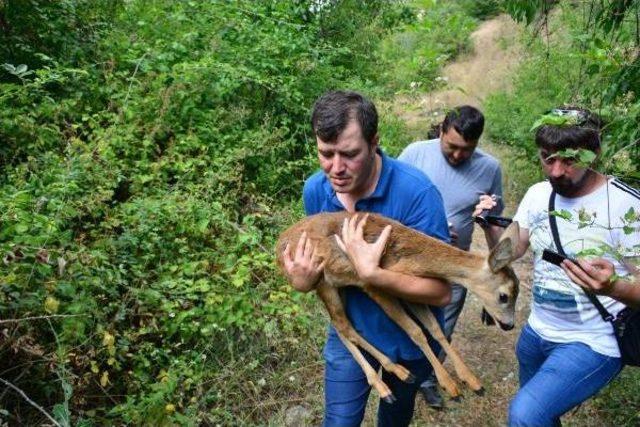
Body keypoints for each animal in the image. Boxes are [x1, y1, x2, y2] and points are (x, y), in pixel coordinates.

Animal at [276, 214, 520, 404]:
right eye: (504, 296)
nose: (509, 325)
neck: (416, 262)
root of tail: (278, 246)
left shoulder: (411, 290)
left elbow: (435, 329)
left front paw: (471, 380)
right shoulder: (374, 285)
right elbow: (415, 331)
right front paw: (449, 386)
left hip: (336, 284)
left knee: (340, 326)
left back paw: (392, 375)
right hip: (323, 280)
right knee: (343, 326)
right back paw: (391, 379)